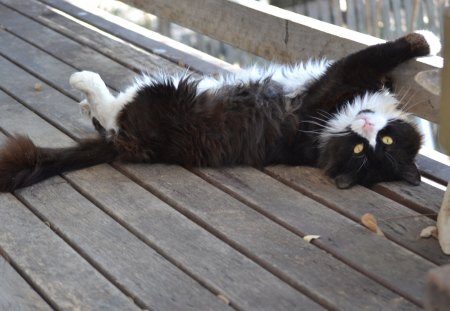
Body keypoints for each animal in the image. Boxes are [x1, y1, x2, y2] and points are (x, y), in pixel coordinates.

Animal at [0, 31, 440, 193]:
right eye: (371, 145)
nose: (364, 125)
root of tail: (126, 148)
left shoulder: (335, 81)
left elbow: (374, 53)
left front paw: (424, 40)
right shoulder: (349, 84)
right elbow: (378, 63)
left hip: (165, 91)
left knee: (110, 111)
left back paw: (83, 82)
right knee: (102, 116)